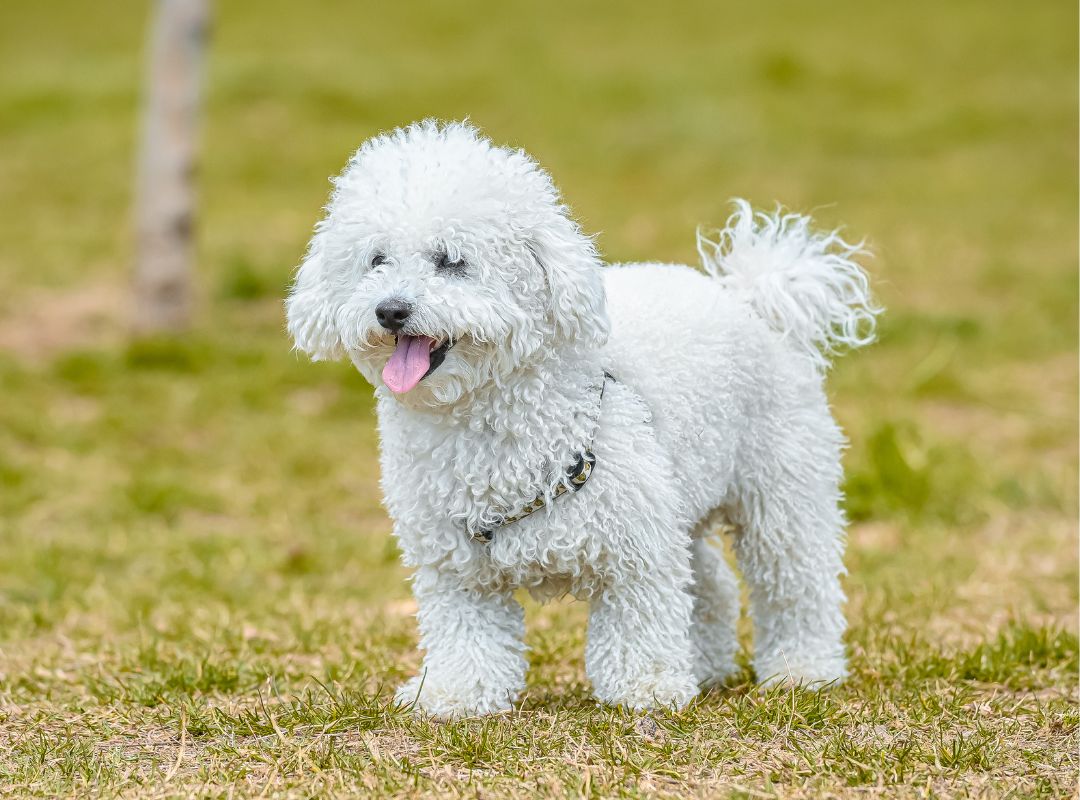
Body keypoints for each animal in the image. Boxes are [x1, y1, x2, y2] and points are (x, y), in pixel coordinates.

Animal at [285, 120, 876, 716]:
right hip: (680, 495)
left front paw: (647, 689)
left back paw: (804, 670)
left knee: (794, 582)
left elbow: (640, 622)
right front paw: (456, 694)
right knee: (711, 584)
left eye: (451, 260)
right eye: (376, 260)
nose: (390, 310)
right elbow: (467, 635)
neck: (487, 421)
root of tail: (752, 300)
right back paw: (706, 666)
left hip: (780, 488)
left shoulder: (635, 550)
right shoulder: (456, 568)